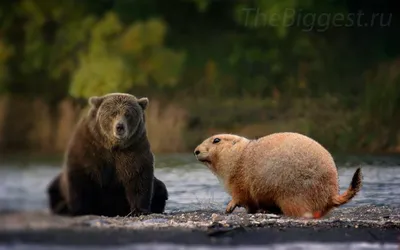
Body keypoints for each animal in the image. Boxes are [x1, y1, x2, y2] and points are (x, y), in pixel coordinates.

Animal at [193, 132, 362, 218]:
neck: (240, 155)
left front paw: (229, 207)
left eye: (216, 140)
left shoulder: (238, 178)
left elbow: (240, 195)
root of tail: (332, 193)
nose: (195, 151)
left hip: (294, 194)